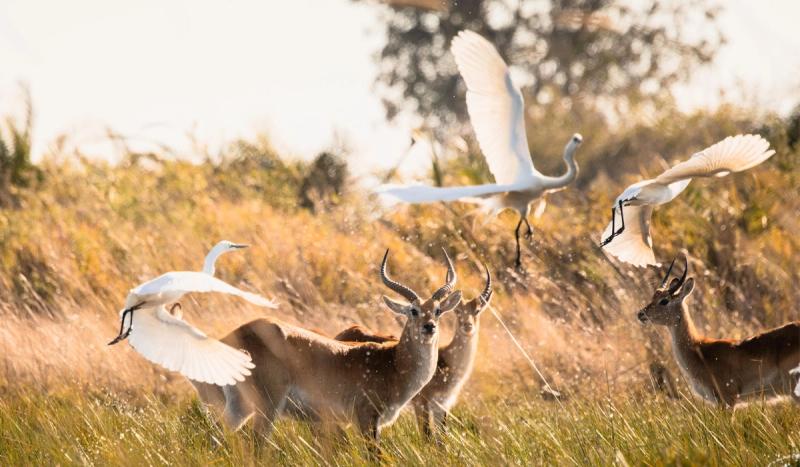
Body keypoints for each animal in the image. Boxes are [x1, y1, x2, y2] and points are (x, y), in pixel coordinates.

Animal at [191, 248, 462, 446]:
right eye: (413, 310)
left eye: (438, 310)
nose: (429, 327)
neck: (393, 364)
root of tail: (232, 336)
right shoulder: (367, 420)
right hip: (265, 406)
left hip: (238, 407)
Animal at [334, 265, 493, 436]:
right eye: (457, 311)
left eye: (477, 310)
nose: (429, 326)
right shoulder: (421, 403)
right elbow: (427, 434)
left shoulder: (442, 406)